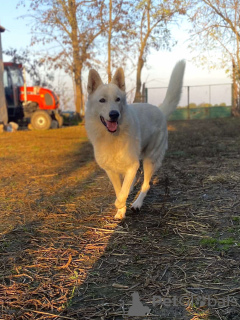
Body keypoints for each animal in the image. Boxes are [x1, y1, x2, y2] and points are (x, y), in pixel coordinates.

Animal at [86, 60, 186, 220]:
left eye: (118, 99)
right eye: (102, 100)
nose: (114, 114)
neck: (113, 137)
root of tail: (160, 110)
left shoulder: (132, 165)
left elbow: (121, 194)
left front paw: (120, 205)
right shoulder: (111, 171)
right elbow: (119, 190)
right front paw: (121, 211)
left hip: (149, 160)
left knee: (146, 185)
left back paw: (137, 204)